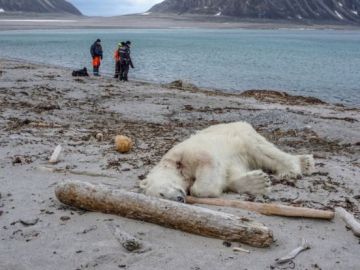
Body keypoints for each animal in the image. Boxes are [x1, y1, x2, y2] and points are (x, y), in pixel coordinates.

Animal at [139, 121, 314, 201]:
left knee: (263, 151)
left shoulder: (186, 153)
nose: (179, 198)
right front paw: (258, 182)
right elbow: (230, 175)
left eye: (161, 193)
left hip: (242, 135)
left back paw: (293, 169)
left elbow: (206, 165)